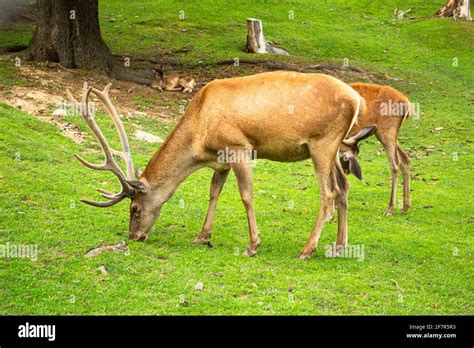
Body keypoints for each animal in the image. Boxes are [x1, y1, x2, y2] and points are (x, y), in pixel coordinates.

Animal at [71, 71, 374, 258]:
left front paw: (253, 245)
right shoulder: (221, 160)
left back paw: (307, 250)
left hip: (322, 143)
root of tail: (357, 99)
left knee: (329, 193)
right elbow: (213, 193)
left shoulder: (238, 147)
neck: (199, 137)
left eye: (134, 208)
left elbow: (246, 195)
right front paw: (203, 236)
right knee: (344, 188)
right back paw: (339, 245)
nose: (134, 236)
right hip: (334, 148)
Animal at [340, 83, 412, 216]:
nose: (347, 171)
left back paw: (390, 208)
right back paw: (405, 207)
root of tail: (407, 104)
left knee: (395, 165)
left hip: (387, 132)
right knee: (405, 159)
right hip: (386, 134)